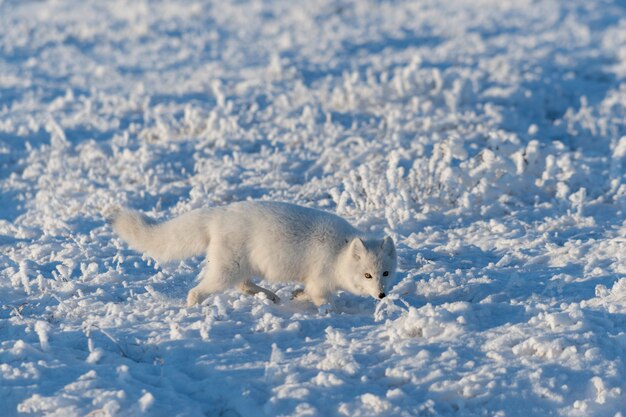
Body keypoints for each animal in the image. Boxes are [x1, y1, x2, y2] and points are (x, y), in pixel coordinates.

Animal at [111, 201, 394, 306]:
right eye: (367, 275)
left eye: (385, 273)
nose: (382, 295)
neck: (339, 252)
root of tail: (219, 213)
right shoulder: (321, 281)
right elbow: (320, 298)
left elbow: (306, 292)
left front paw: (295, 294)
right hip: (226, 271)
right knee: (197, 290)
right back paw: (193, 309)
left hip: (242, 268)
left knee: (244, 286)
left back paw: (270, 296)